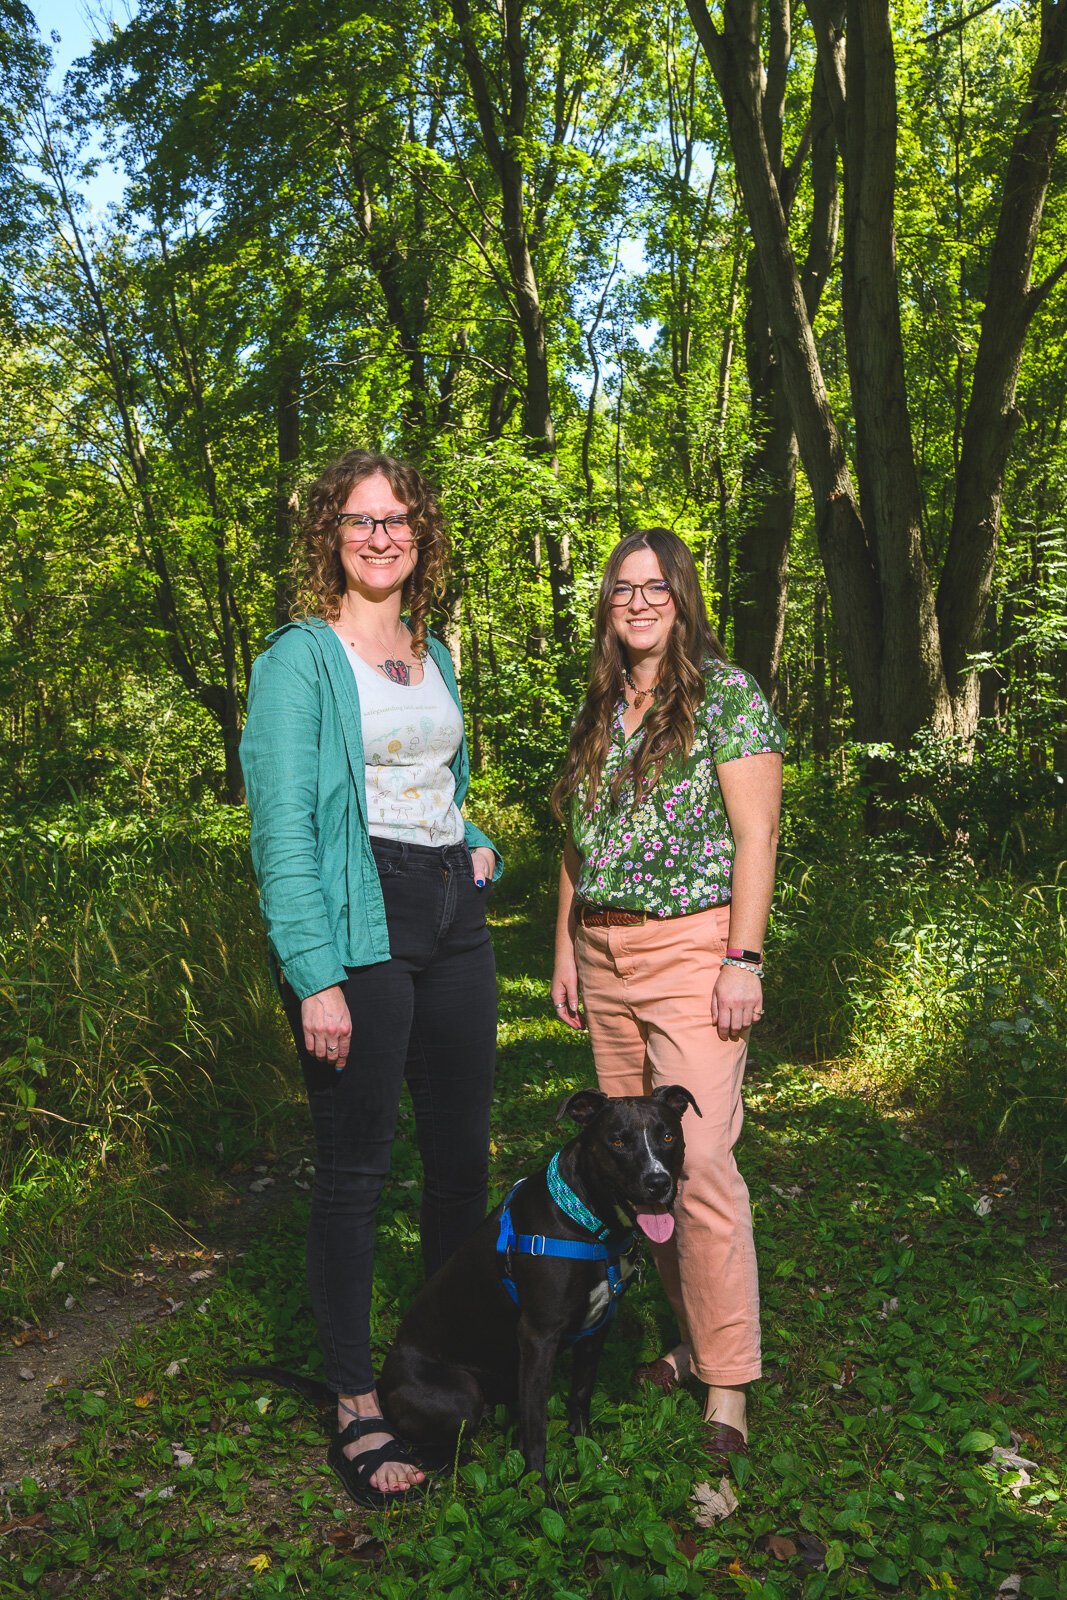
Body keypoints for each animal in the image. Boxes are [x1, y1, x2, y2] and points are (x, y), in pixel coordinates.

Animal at [382, 1088, 700, 1484]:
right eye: (618, 1141)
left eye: (668, 1137)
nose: (658, 1182)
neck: (588, 1223)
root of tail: (381, 1385)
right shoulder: (538, 1337)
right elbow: (536, 1429)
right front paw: (538, 1489)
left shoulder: (598, 1327)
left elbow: (580, 1395)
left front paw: (588, 1452)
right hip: (461, 1395)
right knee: (421, 1444)